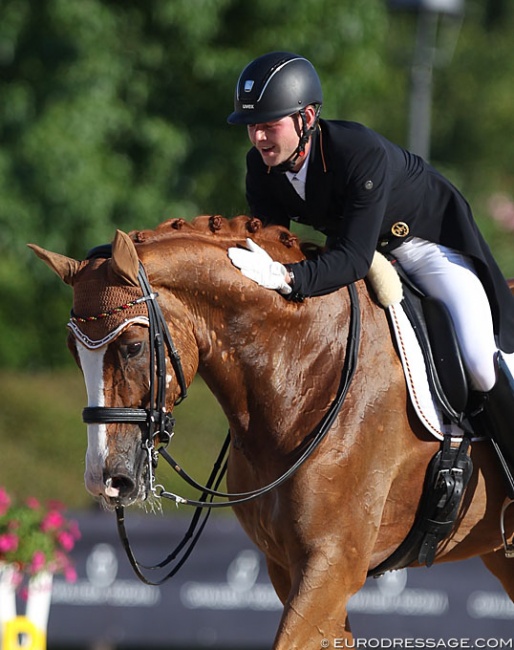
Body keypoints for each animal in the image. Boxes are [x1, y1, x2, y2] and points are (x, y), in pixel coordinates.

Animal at [29, 216, 512, 648]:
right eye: (75, 353)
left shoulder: (332, 565)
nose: (106, 481)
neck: (309, 368)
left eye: (132, 347)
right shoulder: (290, 568)